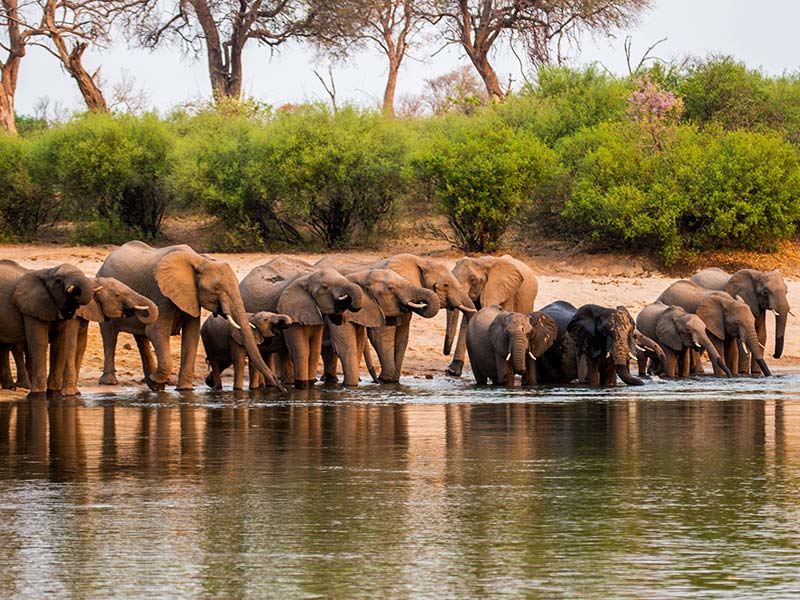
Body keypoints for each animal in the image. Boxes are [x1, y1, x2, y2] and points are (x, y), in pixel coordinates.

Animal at [0, 258, 93, 396]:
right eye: (59, 280)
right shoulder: (31, 309)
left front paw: (54, 393)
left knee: (3, 347)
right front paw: (37, 395)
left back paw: (10, 388)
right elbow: (39, 343)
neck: (48, 272)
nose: (75, 291)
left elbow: (60, 345)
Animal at [97, 241, 284, 392]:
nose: (282, 389)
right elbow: (156, 331)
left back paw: (149, 382)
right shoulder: (161, 292)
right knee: (110, 336)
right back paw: (111, 383)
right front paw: (157, 381)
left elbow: (191, 335)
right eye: (217, 289)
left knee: (141, 338)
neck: (200, 260)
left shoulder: (192, 297)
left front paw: (183, 390)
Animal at [316, 253, 476, 384]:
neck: (422, 262)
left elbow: (402, 337)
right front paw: (386, 380)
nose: (446, 352)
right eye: (446, 285)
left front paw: (394, 380)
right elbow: (382, 336)